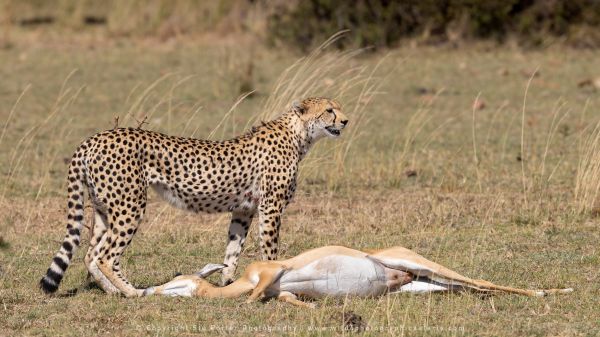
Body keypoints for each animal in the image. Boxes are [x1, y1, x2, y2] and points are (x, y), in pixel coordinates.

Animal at [39, 97, 350, 296]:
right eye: (329, 110)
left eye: (339, 108)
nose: (346, 121)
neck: (298, 135)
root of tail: (96, 137)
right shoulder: (271, 207)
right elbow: (270, 251)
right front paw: (273, 283)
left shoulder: (244, 210)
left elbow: (232, 251)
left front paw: (227, 284)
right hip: (130, 206)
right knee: (105, 255)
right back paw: (133, 292)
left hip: (105, 208)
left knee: (90, 255)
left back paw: (114, 292)